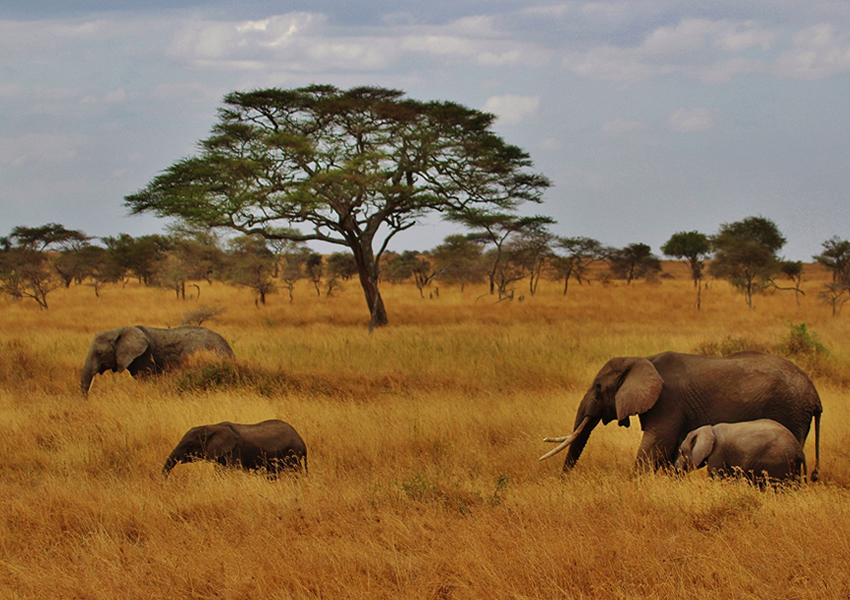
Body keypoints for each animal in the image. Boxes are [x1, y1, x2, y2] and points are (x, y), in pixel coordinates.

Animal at [161, 418, 306, 478]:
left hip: (292, 454)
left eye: (190, 444)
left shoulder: (235, 452)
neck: (212, 426)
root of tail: (302, 441)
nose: (165, 481)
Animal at [536, 352, 820, 478]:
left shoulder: (667, 402)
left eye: (597, 387)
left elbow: (655, 446)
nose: (563, 481)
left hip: (791, 411)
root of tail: (816, 397)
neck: (641, 360)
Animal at [672, 420, 804, 486]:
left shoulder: (717, 453)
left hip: (777, 462)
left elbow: (716, 476)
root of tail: (799, 450)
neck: (708, 429)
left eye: (682, 451)